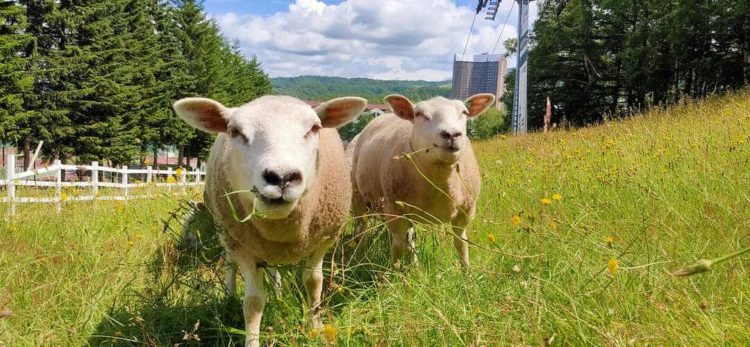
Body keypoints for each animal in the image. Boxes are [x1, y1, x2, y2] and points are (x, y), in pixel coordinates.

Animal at [173, 94, 368, 346]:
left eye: (314, 128)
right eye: (235, 131)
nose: (282, 177)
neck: (282, 228)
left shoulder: (323, 240)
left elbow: (314, 282)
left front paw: (315, 326)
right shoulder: (243, 246)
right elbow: (254, 301)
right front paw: (252, 340)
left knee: (274, 269)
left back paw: (278, 292)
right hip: (227, 233)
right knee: (229, 264)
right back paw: (229, 297)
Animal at [348, 94, 500, 268]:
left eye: (464, 112)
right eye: (419, 114)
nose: (451, 134)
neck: (440, 179)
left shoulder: (466, 211)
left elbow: (461, 245)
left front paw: (467, 272)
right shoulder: (395, 210)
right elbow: (397, 247)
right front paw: (395, 272)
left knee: (409, 238)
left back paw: (415, 266)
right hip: (358, 196)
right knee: (361, 229)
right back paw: (358, 258)